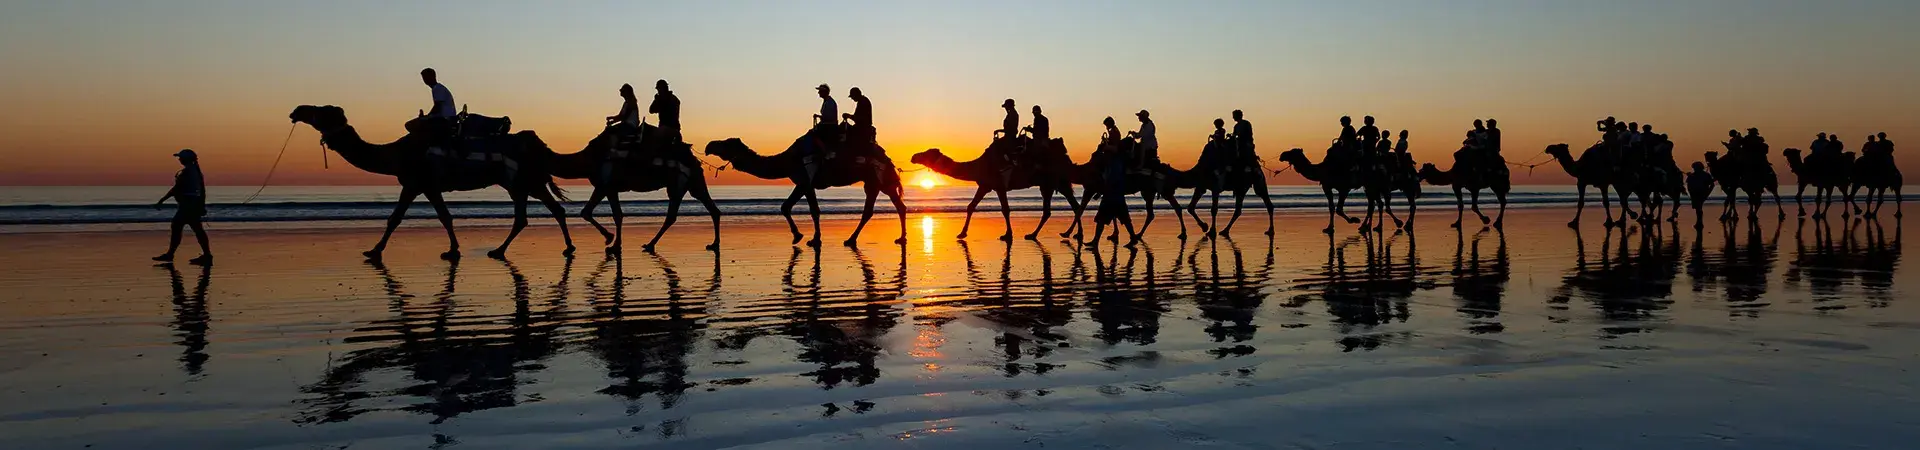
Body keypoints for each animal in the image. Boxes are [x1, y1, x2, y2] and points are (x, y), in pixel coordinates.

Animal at [284, 104, 568, 259]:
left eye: (322, 111)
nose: (297, 110)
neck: (396, 153)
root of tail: (535, 142)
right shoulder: (430, 186)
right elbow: (445, 216)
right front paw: (452, 250)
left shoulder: (413, 183)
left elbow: (395, 218)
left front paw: (374, 251)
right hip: (523, 183)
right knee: (542, 212)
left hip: (525, 181)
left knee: (542, 212)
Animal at [552, 125, 721, 255]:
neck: (587, 159)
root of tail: (695, 160)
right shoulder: (607, 187)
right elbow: (601, 213)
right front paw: (612, 242)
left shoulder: (605, 185)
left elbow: (609, 214)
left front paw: (612, 243)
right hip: (693, 182)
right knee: (710, 209)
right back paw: (713, 244)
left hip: (678, 183)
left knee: (673, 215)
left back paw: (650, 244)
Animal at [706, 136, 906, 246]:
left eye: (726, 143)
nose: (709, 146)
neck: (787, 161)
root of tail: (888, 159)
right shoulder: (804, 183)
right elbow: (791, 207)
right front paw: (804, 236)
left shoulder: (804, 181)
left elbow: (806, 209)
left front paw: (807, 238)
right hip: (878, 182)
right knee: (893, 207)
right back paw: (898, 238)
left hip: (876, 179)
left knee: (875, 209)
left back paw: (852, 240)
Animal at [910, 137, 1082, 242]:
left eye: (927, 153)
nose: (913, 156)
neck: (979, 165)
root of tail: (1065, 157)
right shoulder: (985, 185)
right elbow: (971, 206)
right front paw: (962, 233)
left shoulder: (999, 186)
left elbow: (1005, 209)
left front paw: (1008, 235)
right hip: (1052, 183)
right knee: (1067, 207)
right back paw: (1064, 234)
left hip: (1054, 182)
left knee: (1067, 207)